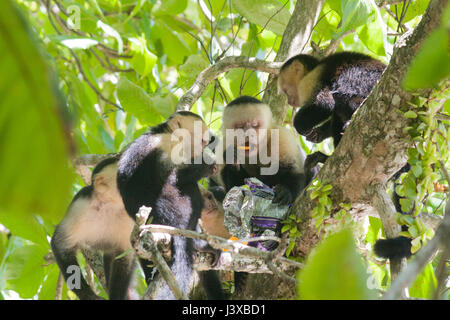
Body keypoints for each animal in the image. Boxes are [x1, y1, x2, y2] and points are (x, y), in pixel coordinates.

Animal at [51, 156, 135, 302]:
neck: (109, 205)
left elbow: (124, 255)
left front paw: (117, 297)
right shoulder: (81, 206)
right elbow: (60, 244)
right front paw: (87, 295)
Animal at [116, 110, 225, 300]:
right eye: (201, 141)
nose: (202, 149)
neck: (165, 133)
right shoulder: (168, 145)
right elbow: (173, 177)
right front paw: (208, 165)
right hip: (176, 206)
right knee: (188, 190)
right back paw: (197, 243)